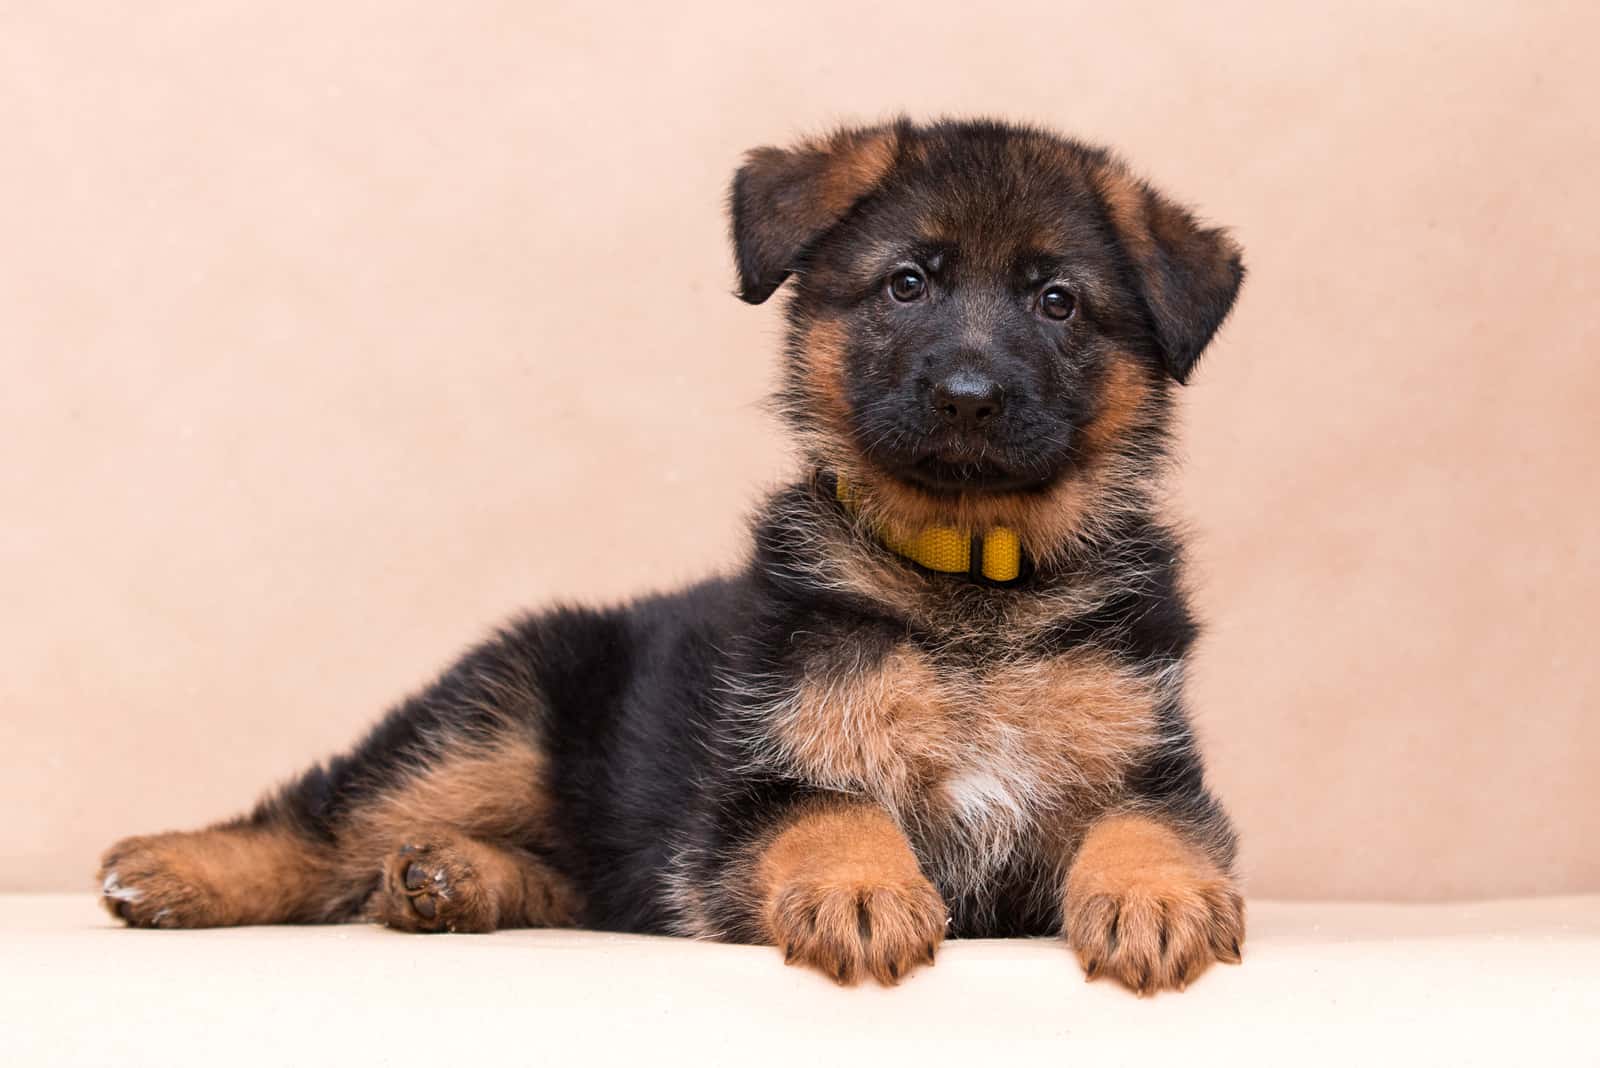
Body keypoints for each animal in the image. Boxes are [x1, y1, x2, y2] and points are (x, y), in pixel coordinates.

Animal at [100, 116, 1248, 991]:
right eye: (907, 284)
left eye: (1058, 301)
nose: (969, 397)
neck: (968, 578)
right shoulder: (748, 798)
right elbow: (833, 810)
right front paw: (859, 889)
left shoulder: (1157, 771)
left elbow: (1147, 828)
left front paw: (1159, 902)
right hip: (495, 721)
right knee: (328, 819)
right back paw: (175, 871)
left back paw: (450, 881)